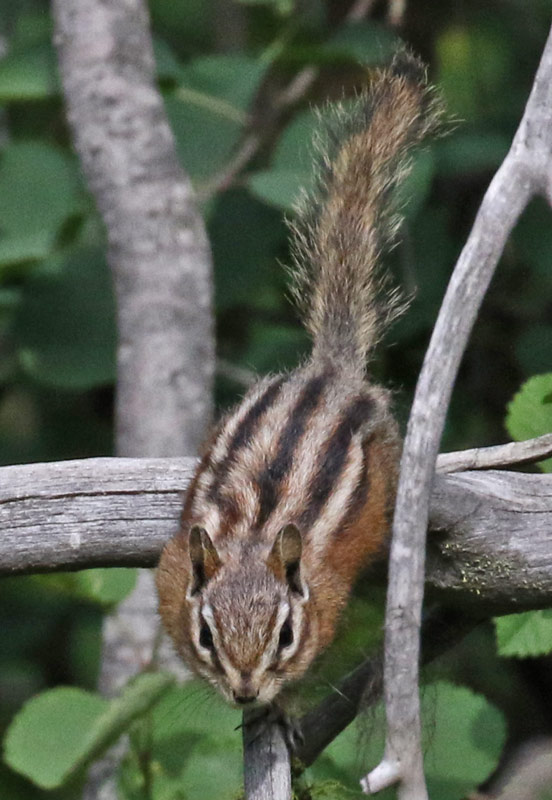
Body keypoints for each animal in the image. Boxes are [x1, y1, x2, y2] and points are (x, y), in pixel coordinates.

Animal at [156, 52, 442, 708]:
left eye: (285, 635)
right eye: (206, 635)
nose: (244, 692)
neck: (253, 535)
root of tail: (330, 371)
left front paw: (279, 706)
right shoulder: (171, 573)